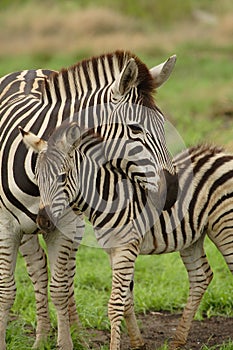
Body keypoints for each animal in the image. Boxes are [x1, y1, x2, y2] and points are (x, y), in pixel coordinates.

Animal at [0, 50, 177, 348]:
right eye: (135, 129)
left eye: (163, 125)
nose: (173, 190)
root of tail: (29, 70)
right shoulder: (5, 227)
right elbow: (6, 292)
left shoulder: (66, 224)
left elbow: (60, 287)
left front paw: (66, 341)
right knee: (37, 270)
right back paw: (40, 337)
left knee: (62, 276)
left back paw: (76, 334)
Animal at [20, 121, 233, 350]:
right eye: (37, 178)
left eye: (63, 176)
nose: (43, 221)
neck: (108, 197)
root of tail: (223, 154)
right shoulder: (113, 251)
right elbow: (126, 299)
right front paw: (137, 342)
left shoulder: (126, 248)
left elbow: (115, 304)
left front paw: (116, 345)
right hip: (191, 236)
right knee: (201, 276)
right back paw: (178, 339)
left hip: (224, 227)